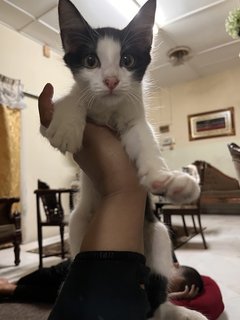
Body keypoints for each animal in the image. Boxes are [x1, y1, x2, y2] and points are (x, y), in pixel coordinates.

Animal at [41, 1, 206, 318]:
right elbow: (74, 99)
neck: (108, 110)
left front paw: (166, 178)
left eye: (127, 60)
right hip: (78, 224)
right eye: (90, 60)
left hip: (157, 233)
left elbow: (144, 136)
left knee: (158, 297)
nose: (111, 80)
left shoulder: (132, 117)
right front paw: (67, 123)